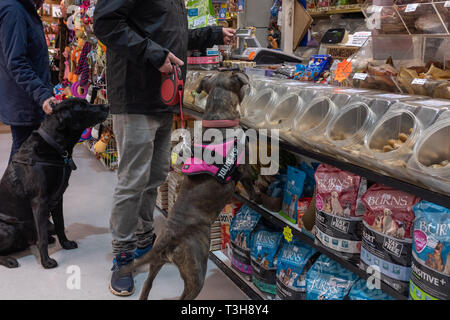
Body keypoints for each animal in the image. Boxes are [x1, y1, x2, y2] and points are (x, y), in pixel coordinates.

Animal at [0, 99, 108, 268]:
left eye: (87, 103)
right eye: (83, 106)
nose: (107, 106)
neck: (55, 146)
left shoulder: (58, 199)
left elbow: (60, 224)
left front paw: (66, 244)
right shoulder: (39, 201)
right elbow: (42, 238)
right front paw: (46, 261)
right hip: (9, 230)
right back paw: (9, 260)